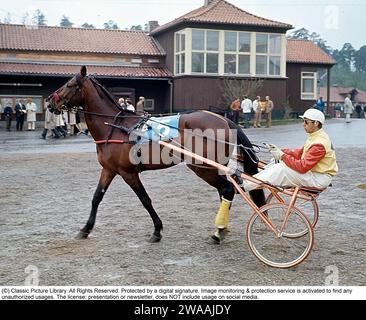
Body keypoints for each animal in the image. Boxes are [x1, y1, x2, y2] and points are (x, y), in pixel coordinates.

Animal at [47, 67, 264, 242]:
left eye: (69, 84)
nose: (50, 102)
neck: (116, 128)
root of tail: (225, 120)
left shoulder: (128, 172)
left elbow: (145, 199)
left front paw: (157, 230)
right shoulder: (109, 169)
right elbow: (96, 198)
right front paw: (85, 229)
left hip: (203, 167)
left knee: (227, 189)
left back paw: (218, 232)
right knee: (225, 191)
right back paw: (222, 228)